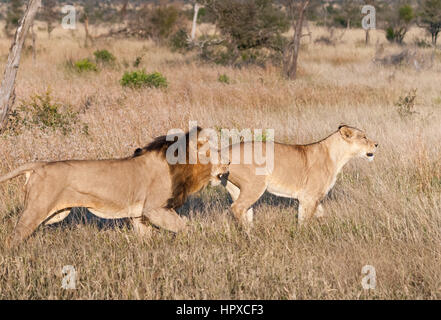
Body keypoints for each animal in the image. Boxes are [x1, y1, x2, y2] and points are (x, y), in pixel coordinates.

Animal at [2, 126, 230, 246]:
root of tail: (39, 164)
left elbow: (148, 236)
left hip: (53, 214)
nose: (228, 162)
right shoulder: (155, 209)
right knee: (14, 235)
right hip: (37, 209)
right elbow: (185, 227)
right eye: (213, 152)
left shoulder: (138, 215)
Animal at [223, 125, 378, 225]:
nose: (377, 144)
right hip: (255, 185)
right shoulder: (309, 196)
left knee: (245, 211)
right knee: (237, 207)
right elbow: (304, 221)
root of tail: (224, 150)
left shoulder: (310, 198)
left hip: (236, 189)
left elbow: (319, 214)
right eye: (364, 137)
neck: (337, 155)